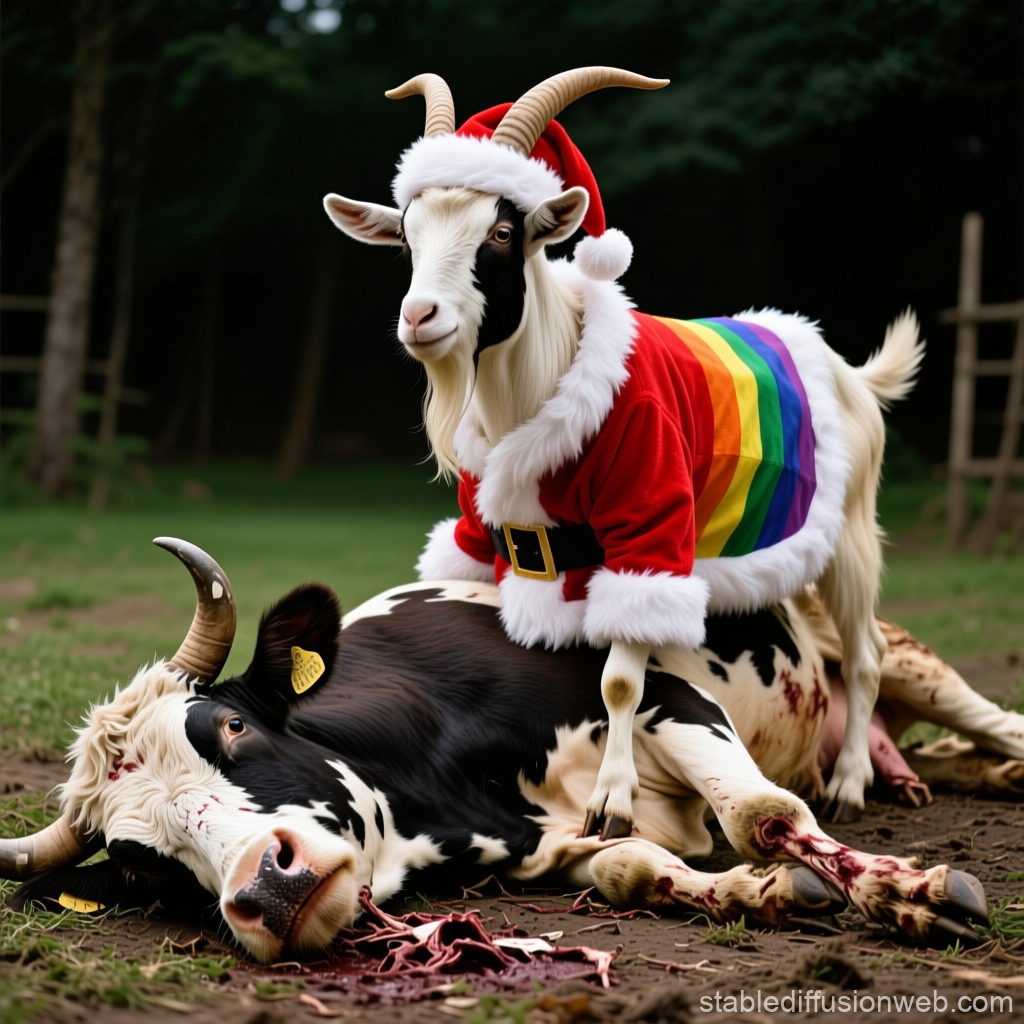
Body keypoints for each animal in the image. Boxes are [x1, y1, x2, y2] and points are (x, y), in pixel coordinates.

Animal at [4, 538, 1022, 966]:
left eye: (230, 727)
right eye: (141, 866)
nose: (268, 886)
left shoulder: (663, 696)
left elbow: (761, 813)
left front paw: (907, 894)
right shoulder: (545, 844)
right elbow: (628, 869)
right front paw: (756, 894)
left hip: (895, 649)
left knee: (986, 717)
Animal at [322, 67, 925, 837]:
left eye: (501, 230)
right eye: (405, 236)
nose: (419, 317)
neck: (539, 388)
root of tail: (847, 371)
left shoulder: (649, 519)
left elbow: (617, 675)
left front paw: (612, 802)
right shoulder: (486, 529)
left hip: (850, 530)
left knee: (864, 652)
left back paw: (849, 782)